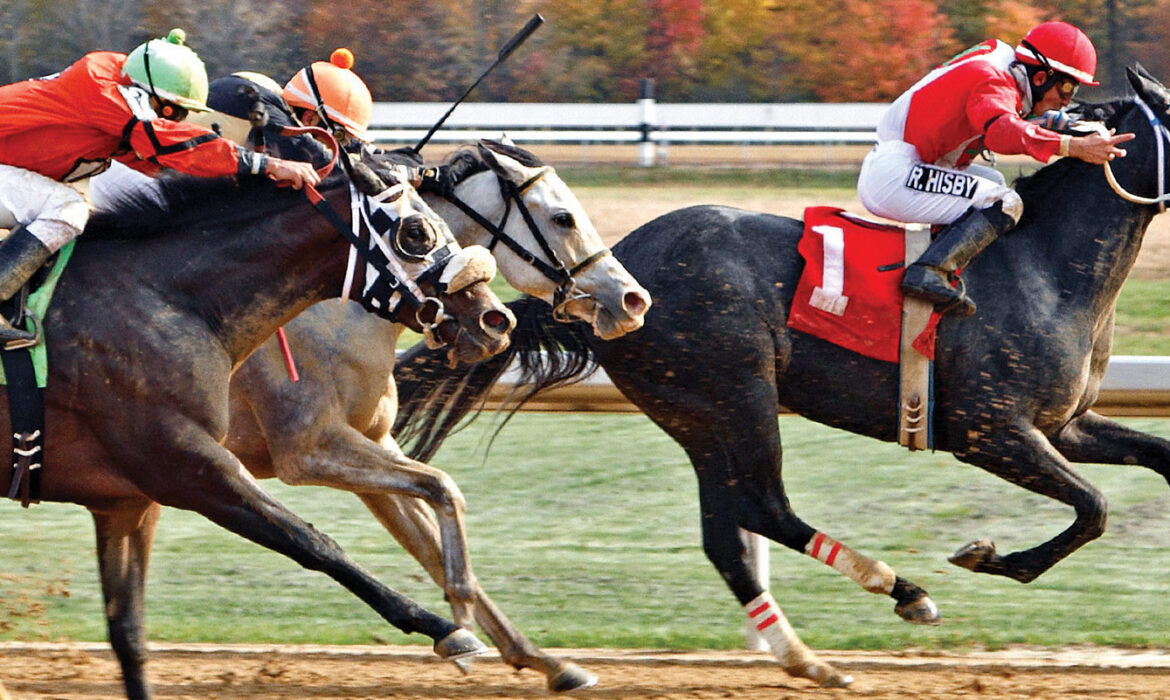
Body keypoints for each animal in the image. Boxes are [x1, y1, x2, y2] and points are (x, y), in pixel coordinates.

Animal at [1, 156, 512, 697]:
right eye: (415, 232)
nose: (494, 319)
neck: (170, 300)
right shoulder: (192, 466)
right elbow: (314, 542)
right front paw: (447, 627)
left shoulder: (128, 502)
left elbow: (129, 636)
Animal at [223, 141, 655, 692]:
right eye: (563, 217)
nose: (633, 298)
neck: (340, 310)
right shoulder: (309, 449)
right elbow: (444, 495)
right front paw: (462, 618)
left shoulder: (369, 443)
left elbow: (428, 538)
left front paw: (540, 658)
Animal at [390, 68, 1170, 688]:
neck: (1045, 268)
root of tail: (610, 284)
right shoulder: (991, 430)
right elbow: (1095, 507)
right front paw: (985, 556)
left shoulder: (1062, 425)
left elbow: (1146, 466)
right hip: (738, 394)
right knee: (763, 507)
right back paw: (899, 590)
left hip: (696, 413)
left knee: (725, 533)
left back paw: (806, 657)